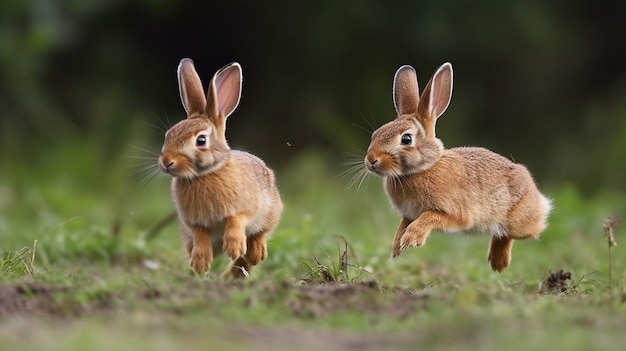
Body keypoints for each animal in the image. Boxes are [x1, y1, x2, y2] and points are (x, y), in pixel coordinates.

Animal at [157, 59, 282, 280]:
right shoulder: (193, 223)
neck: (203, 175)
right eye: (168, 135)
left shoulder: (246, 207)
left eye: (201, 140)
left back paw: (253, 254)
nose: (166, 162)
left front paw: (234, 246)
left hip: (270, 212)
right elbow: (200, 234)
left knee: (258, 238)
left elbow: (236, 219)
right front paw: (200, 261)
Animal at [364, 63, 548, 272]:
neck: (422, 169)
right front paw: (397, 248)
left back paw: (500, 261)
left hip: (520, 222)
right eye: (376, 134)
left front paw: (411, 240)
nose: (371, 160)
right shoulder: (409, 214)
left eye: (407, 139)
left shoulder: (456, 214)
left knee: (522, 231)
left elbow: (429, 217)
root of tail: (531, 186)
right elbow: (402, 226)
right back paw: (498, 263)